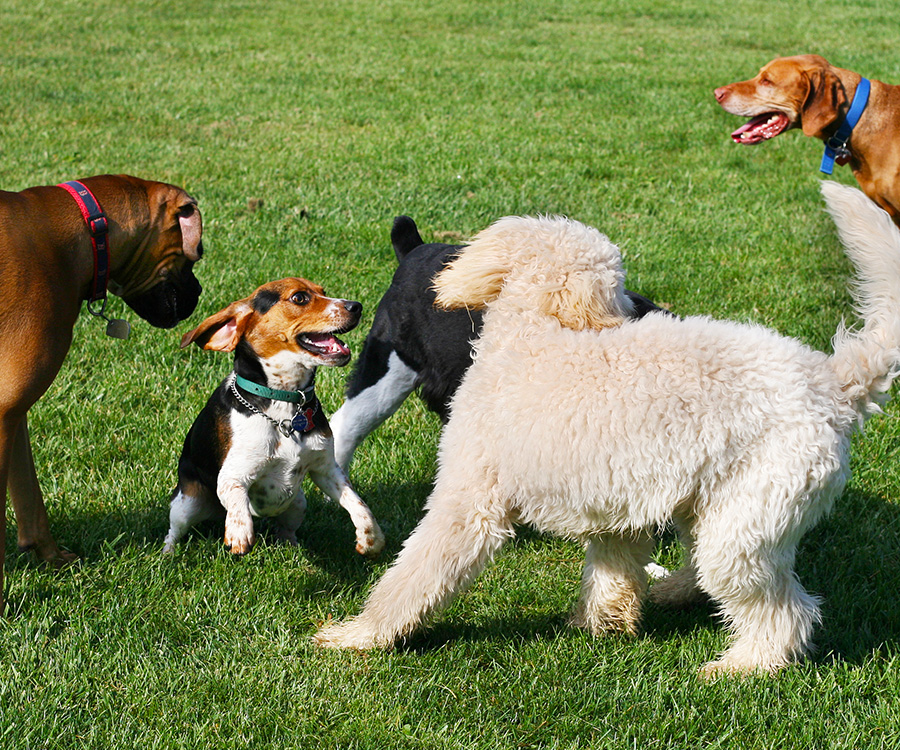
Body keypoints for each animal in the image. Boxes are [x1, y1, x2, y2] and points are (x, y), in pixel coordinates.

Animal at [0, 175, 205, 612]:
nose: (198, 291)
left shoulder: (13, 413)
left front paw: (48, 555)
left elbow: (30, 497)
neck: (80, 231)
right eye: (193, 259)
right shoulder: (4, 416)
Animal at [165, 280, 384, 560]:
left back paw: (292, 547)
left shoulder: (326, 469)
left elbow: (358, 504)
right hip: (187, 504)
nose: (357, 306)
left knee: (286, 530)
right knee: (175, 530)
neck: (284, 402)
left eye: (323, 291)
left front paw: (371, 539)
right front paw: (239, 533)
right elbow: (237, 499)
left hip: (298, 502)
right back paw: (168, 553)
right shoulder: (231, 476)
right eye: (299, 298)